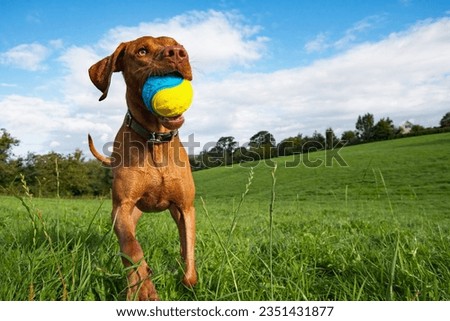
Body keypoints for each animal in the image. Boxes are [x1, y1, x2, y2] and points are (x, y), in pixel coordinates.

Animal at [87, 36, 196, 298]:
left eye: (176, 43)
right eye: (142, 51)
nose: (178, 53)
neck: (156, 140)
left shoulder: (185, 208)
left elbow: (188, 252)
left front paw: (187, 279)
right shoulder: (121, 209)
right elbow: (132, 250)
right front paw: (144, 288)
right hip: (129, 214)